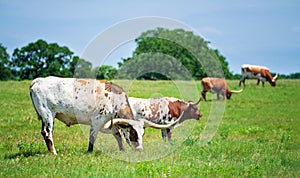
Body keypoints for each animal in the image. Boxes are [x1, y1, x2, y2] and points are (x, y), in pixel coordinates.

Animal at [28, 76, 178, 154]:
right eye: (133, 133)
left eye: (142, 134)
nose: (140, 149)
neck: (114, 99)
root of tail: (37, 81)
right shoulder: (97, 121)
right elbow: (92, 137)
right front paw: (89, 151)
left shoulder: (111, 122)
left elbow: (118, 135)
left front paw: (122, 149)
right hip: (48, 114)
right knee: (47, 133)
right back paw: (54, 152)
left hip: (44, 116)